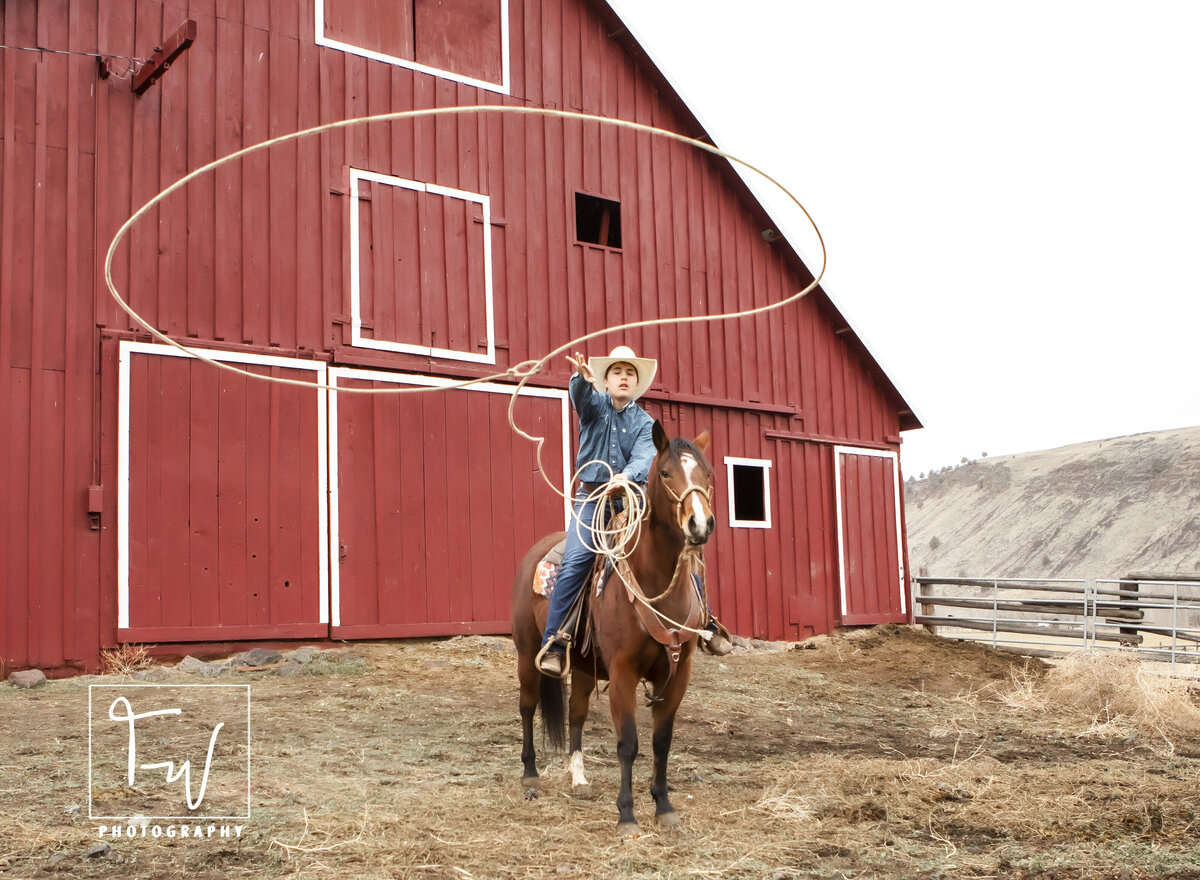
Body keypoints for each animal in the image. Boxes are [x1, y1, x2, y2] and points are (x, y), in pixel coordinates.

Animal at [511, 422, 715, 835]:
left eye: (708, 474)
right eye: (665, 472)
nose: (700, 524)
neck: (655, 584)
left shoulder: (678, 673)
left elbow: (661, 741)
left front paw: (664, 806)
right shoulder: (623, 671)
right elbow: (628, 743)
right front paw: (627, 815)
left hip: (584, 666)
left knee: (576, 714)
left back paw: (579, 778)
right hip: (527, 652)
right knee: (528, 705)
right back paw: (530, 772)